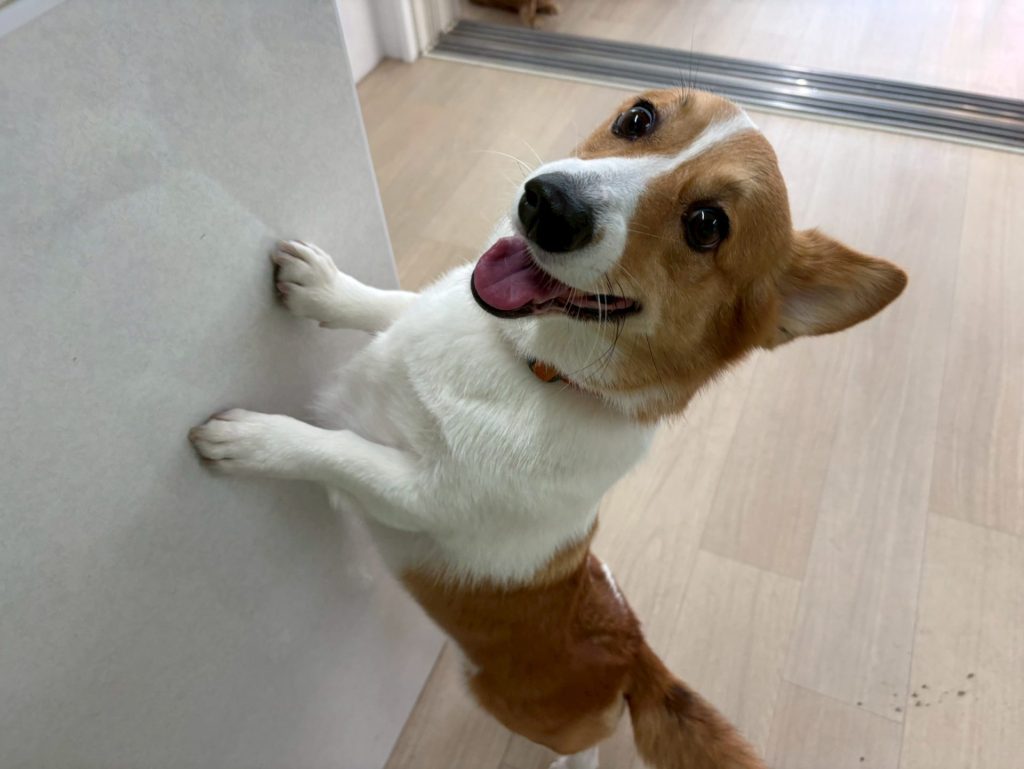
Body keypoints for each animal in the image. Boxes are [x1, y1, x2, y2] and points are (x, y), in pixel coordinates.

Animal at [189, 88, 906, 769]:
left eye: (707, 224)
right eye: (638, 119)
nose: (547, 203)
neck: (530, 365)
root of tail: (637, 653)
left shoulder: (419, 493)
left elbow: (336, 450)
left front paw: (250, 440)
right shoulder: (427, 316)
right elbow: (388, 303)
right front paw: (322, 286)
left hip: (503, 700)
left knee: (586, 743)